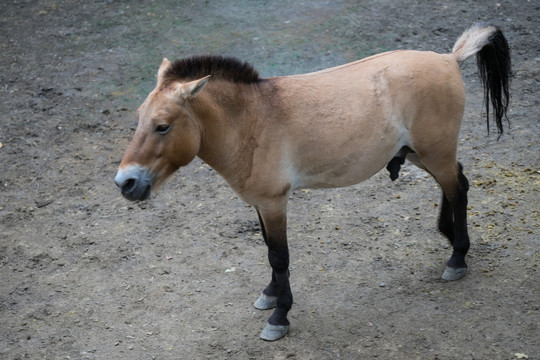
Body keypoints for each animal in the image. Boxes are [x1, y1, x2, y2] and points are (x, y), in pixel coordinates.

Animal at [114, 24, 510, 340]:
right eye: (139, 117)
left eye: (162, 126)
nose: (125, 182)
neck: (251, 121)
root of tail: (449, 58)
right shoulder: (261, 203)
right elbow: (268, 250)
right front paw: (270, 295)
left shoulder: (275, 202)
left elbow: (279, 256)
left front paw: (279, 316)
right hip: (420, 153)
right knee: (457, 183)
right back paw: (450, 238)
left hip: (434, 153)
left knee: (457, 190)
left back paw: (457, 258)